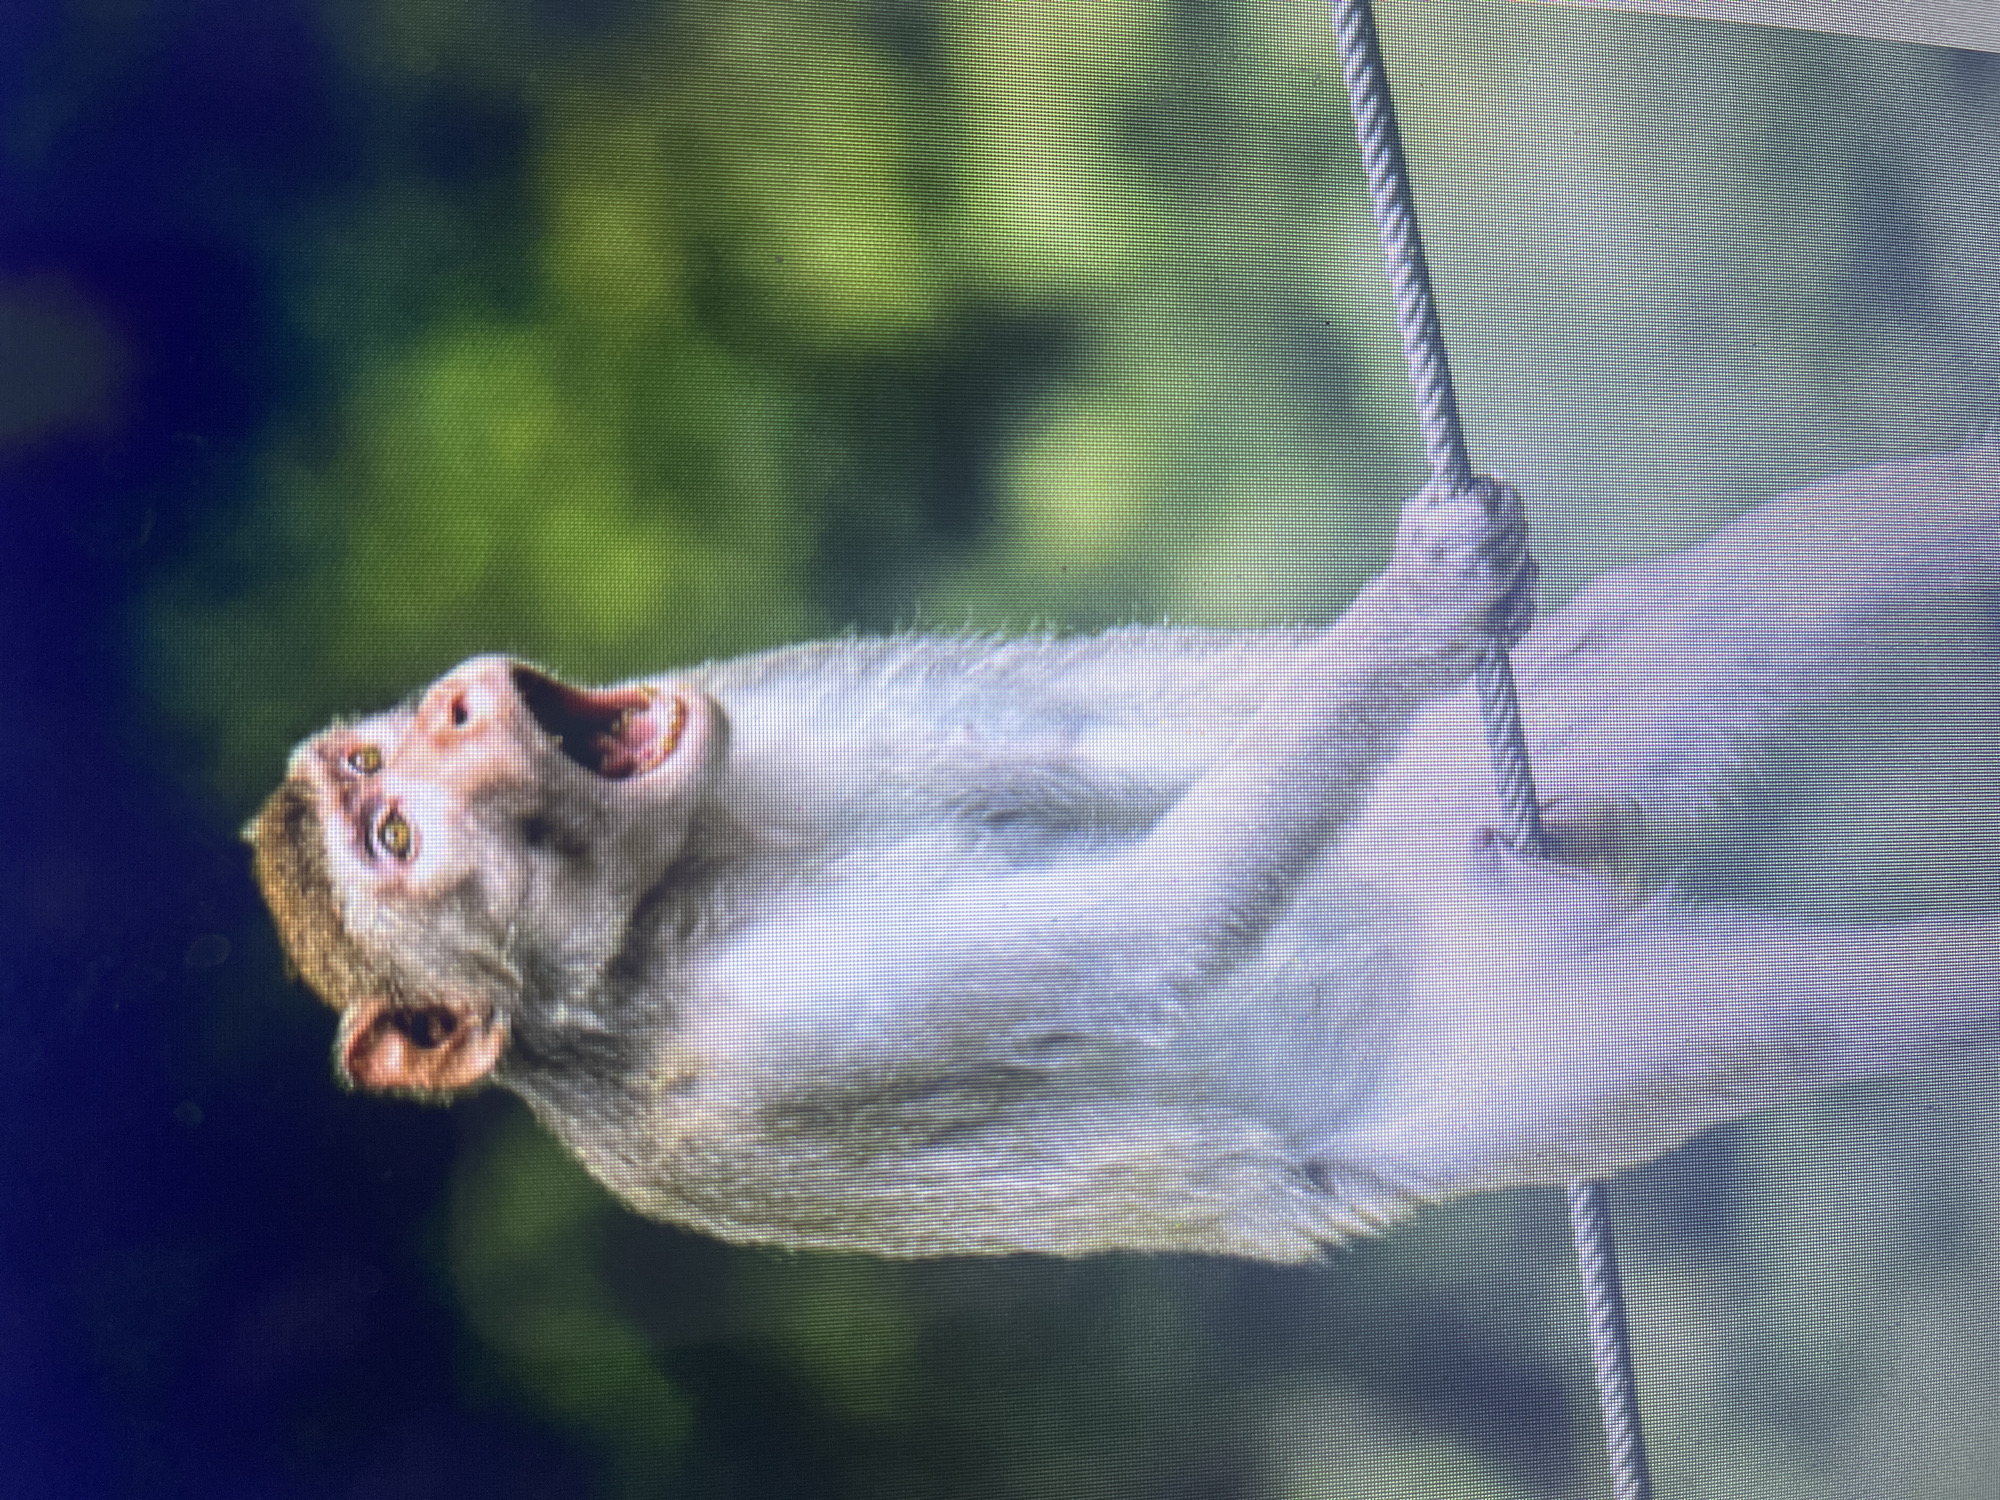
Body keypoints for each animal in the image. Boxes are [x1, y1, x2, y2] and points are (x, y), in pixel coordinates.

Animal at [248, 442, 2000, 1262]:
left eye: (377, 765)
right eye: (390, 828)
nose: (460, 700)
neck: (667, 900)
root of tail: (1499, 876)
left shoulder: (774, 702)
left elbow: (1088, 726)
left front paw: (1405, 617)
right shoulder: (772, 1041)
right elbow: (1135, 937)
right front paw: (1420, 608)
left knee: (1666, 652)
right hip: (1527, 1036)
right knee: (1801, 1013)